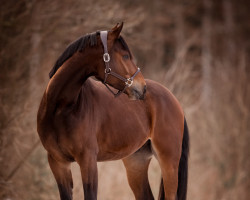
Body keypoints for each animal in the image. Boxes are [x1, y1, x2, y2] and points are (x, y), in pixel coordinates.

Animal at [37, 22, 188, 199]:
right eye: (125, 56)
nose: (142, 88)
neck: (60, 109)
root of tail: (173, 99)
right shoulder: (58, 163)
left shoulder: (88, 160)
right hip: (136, 164)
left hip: (169, 163)